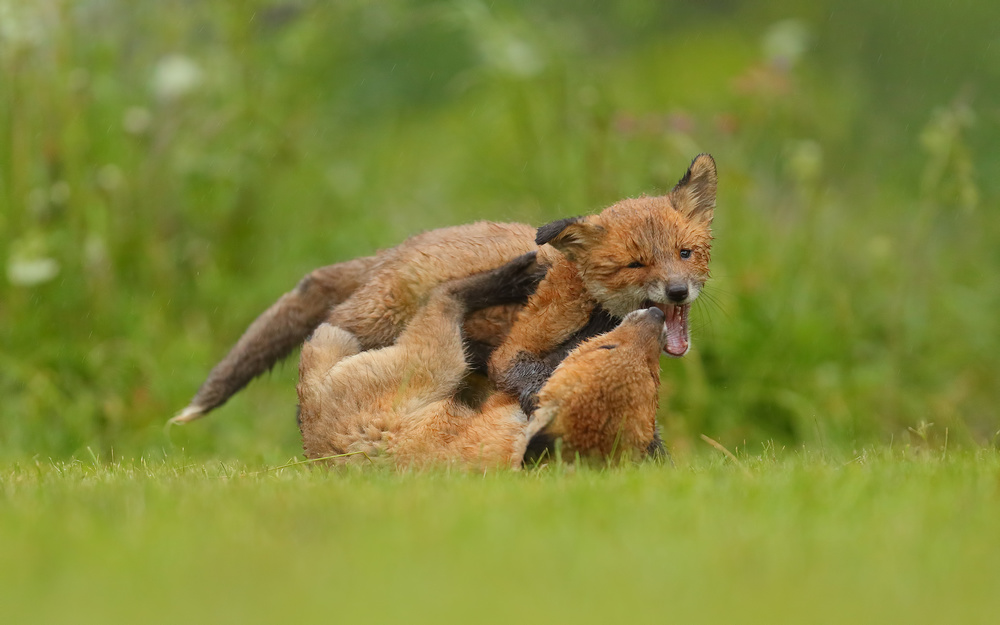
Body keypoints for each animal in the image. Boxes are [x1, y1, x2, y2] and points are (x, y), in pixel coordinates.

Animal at [173, 154, 716, 426]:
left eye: (685, 254)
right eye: (635, 264)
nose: (676, 292)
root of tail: (395, 250)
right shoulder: (521, 346)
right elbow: (533, 379)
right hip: (368, 327)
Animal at [297, 254, 666, 468]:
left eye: (651, 378)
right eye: (607, 348)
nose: (657, 315)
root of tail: (316, 446)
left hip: (436, 362)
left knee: (443, 299)